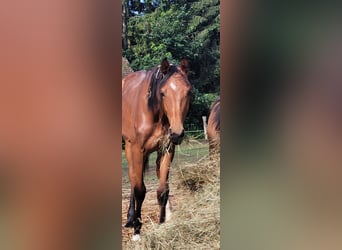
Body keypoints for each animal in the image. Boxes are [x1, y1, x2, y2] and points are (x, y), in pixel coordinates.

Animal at [121, 57, 191, 239]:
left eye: (188, 92)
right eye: (163, 93)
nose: (177, 133)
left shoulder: (166, 150)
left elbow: (162, 191)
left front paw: (161, 225)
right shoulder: (137, 150)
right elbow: (140, 190)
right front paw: (137, 232)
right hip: (130, 148)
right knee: (133, 179)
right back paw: (131, 219)